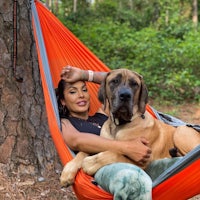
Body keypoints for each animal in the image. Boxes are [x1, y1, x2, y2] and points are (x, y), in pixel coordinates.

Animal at [59, 68, 200, 186]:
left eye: (134, 84)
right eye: (114, 81)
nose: (125, 95)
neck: (119, 125)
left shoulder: (142, 160)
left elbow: (115, 153)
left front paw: (91, 163)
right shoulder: (100, 143)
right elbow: (82, 152)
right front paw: (68, 171)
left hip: (181, 130)